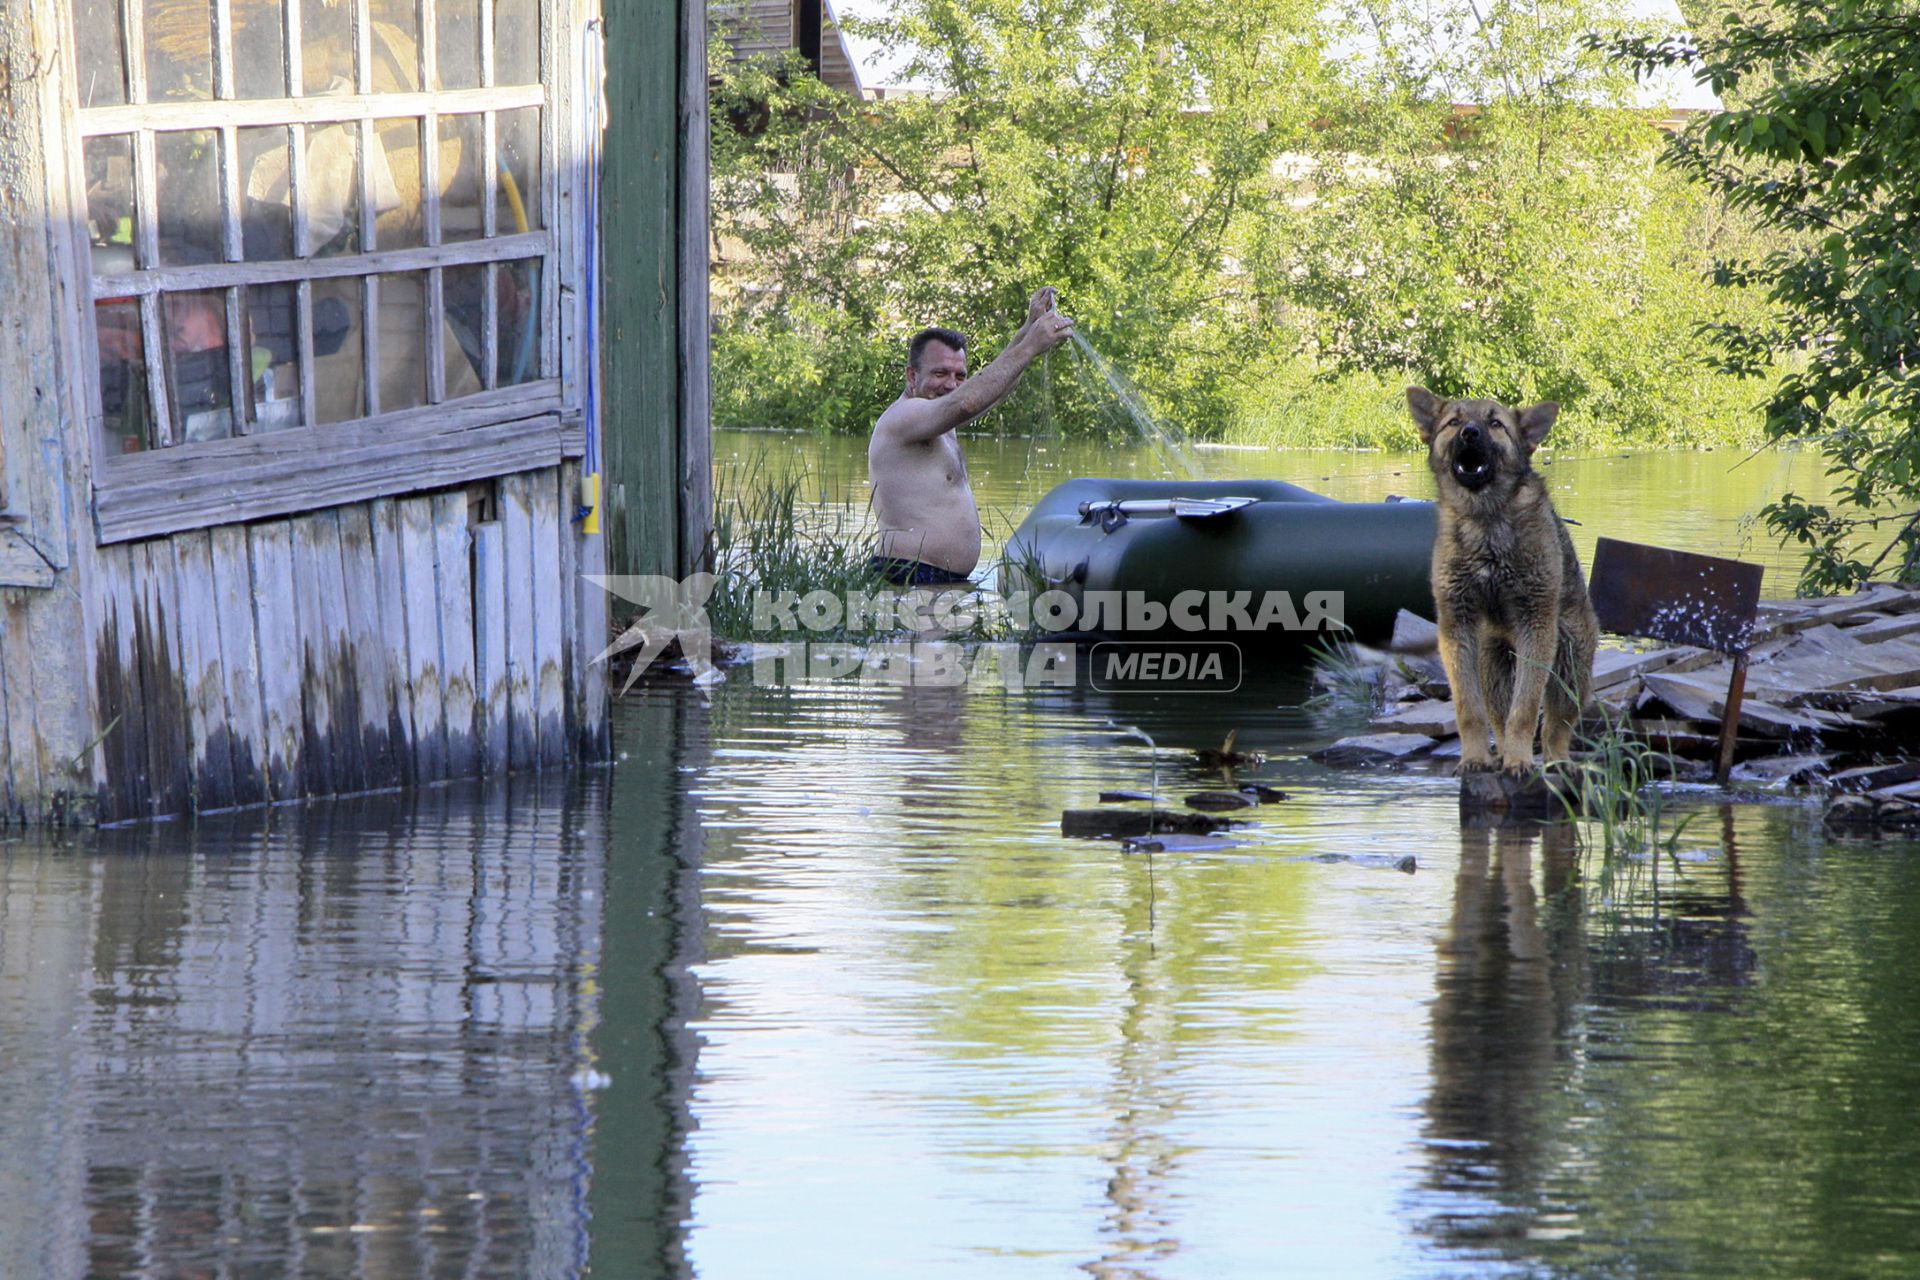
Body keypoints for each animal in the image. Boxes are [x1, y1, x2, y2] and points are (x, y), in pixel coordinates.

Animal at [1405, 387, 1597, 771]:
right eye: (1454, 422)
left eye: (1496, 424)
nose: (1470, 433)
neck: (1485, 521)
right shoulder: (1457, 624)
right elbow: (1469, 710)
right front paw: (1476, 758)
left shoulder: (1535, 625)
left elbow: (1525, 711)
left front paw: (1519, 761)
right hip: (1492, 669)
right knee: (1498, 717)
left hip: (1570, 667)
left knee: (1555, 727)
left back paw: (1555, 762)